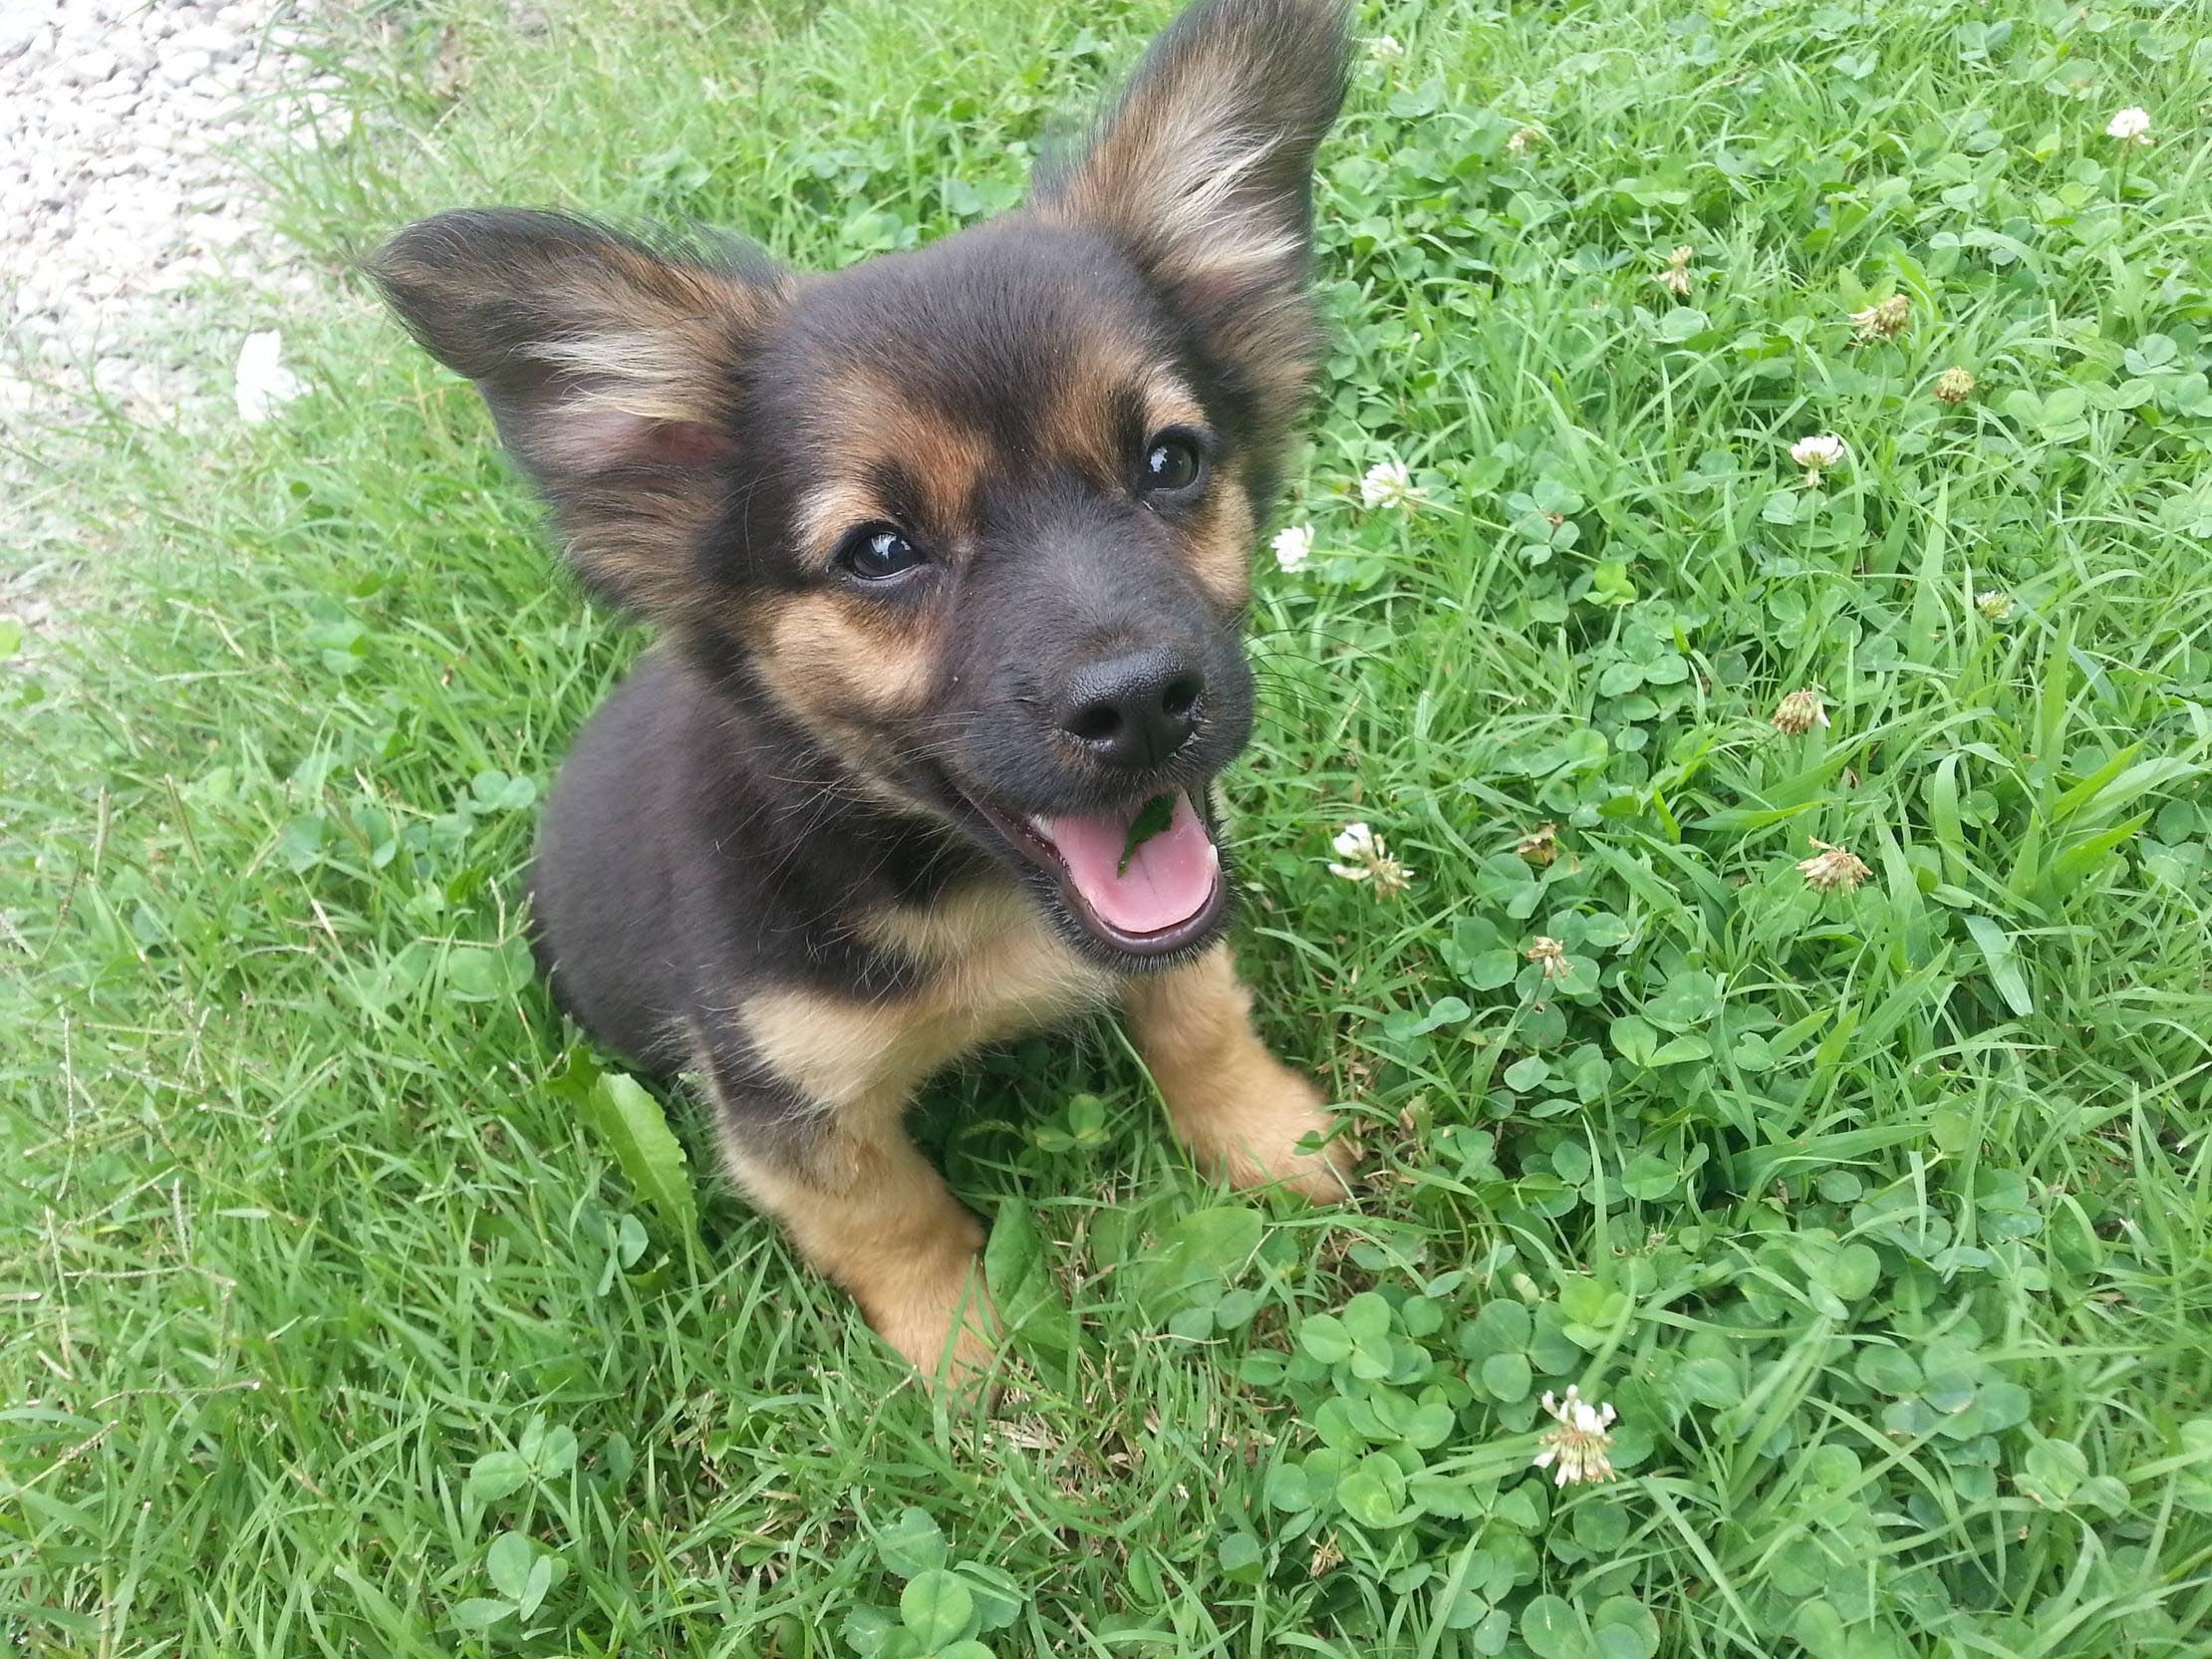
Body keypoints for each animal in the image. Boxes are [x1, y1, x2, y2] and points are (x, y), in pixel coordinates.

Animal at [371, 0, 1353, 1380]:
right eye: (880, 552)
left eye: (1171, 462)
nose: (1145, 704)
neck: (973, 893)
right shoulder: (789, 1104)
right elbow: (898, 1222)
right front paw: (970, 1361)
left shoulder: (1177, 917)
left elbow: (1199, 1013)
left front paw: (1276, 1139)